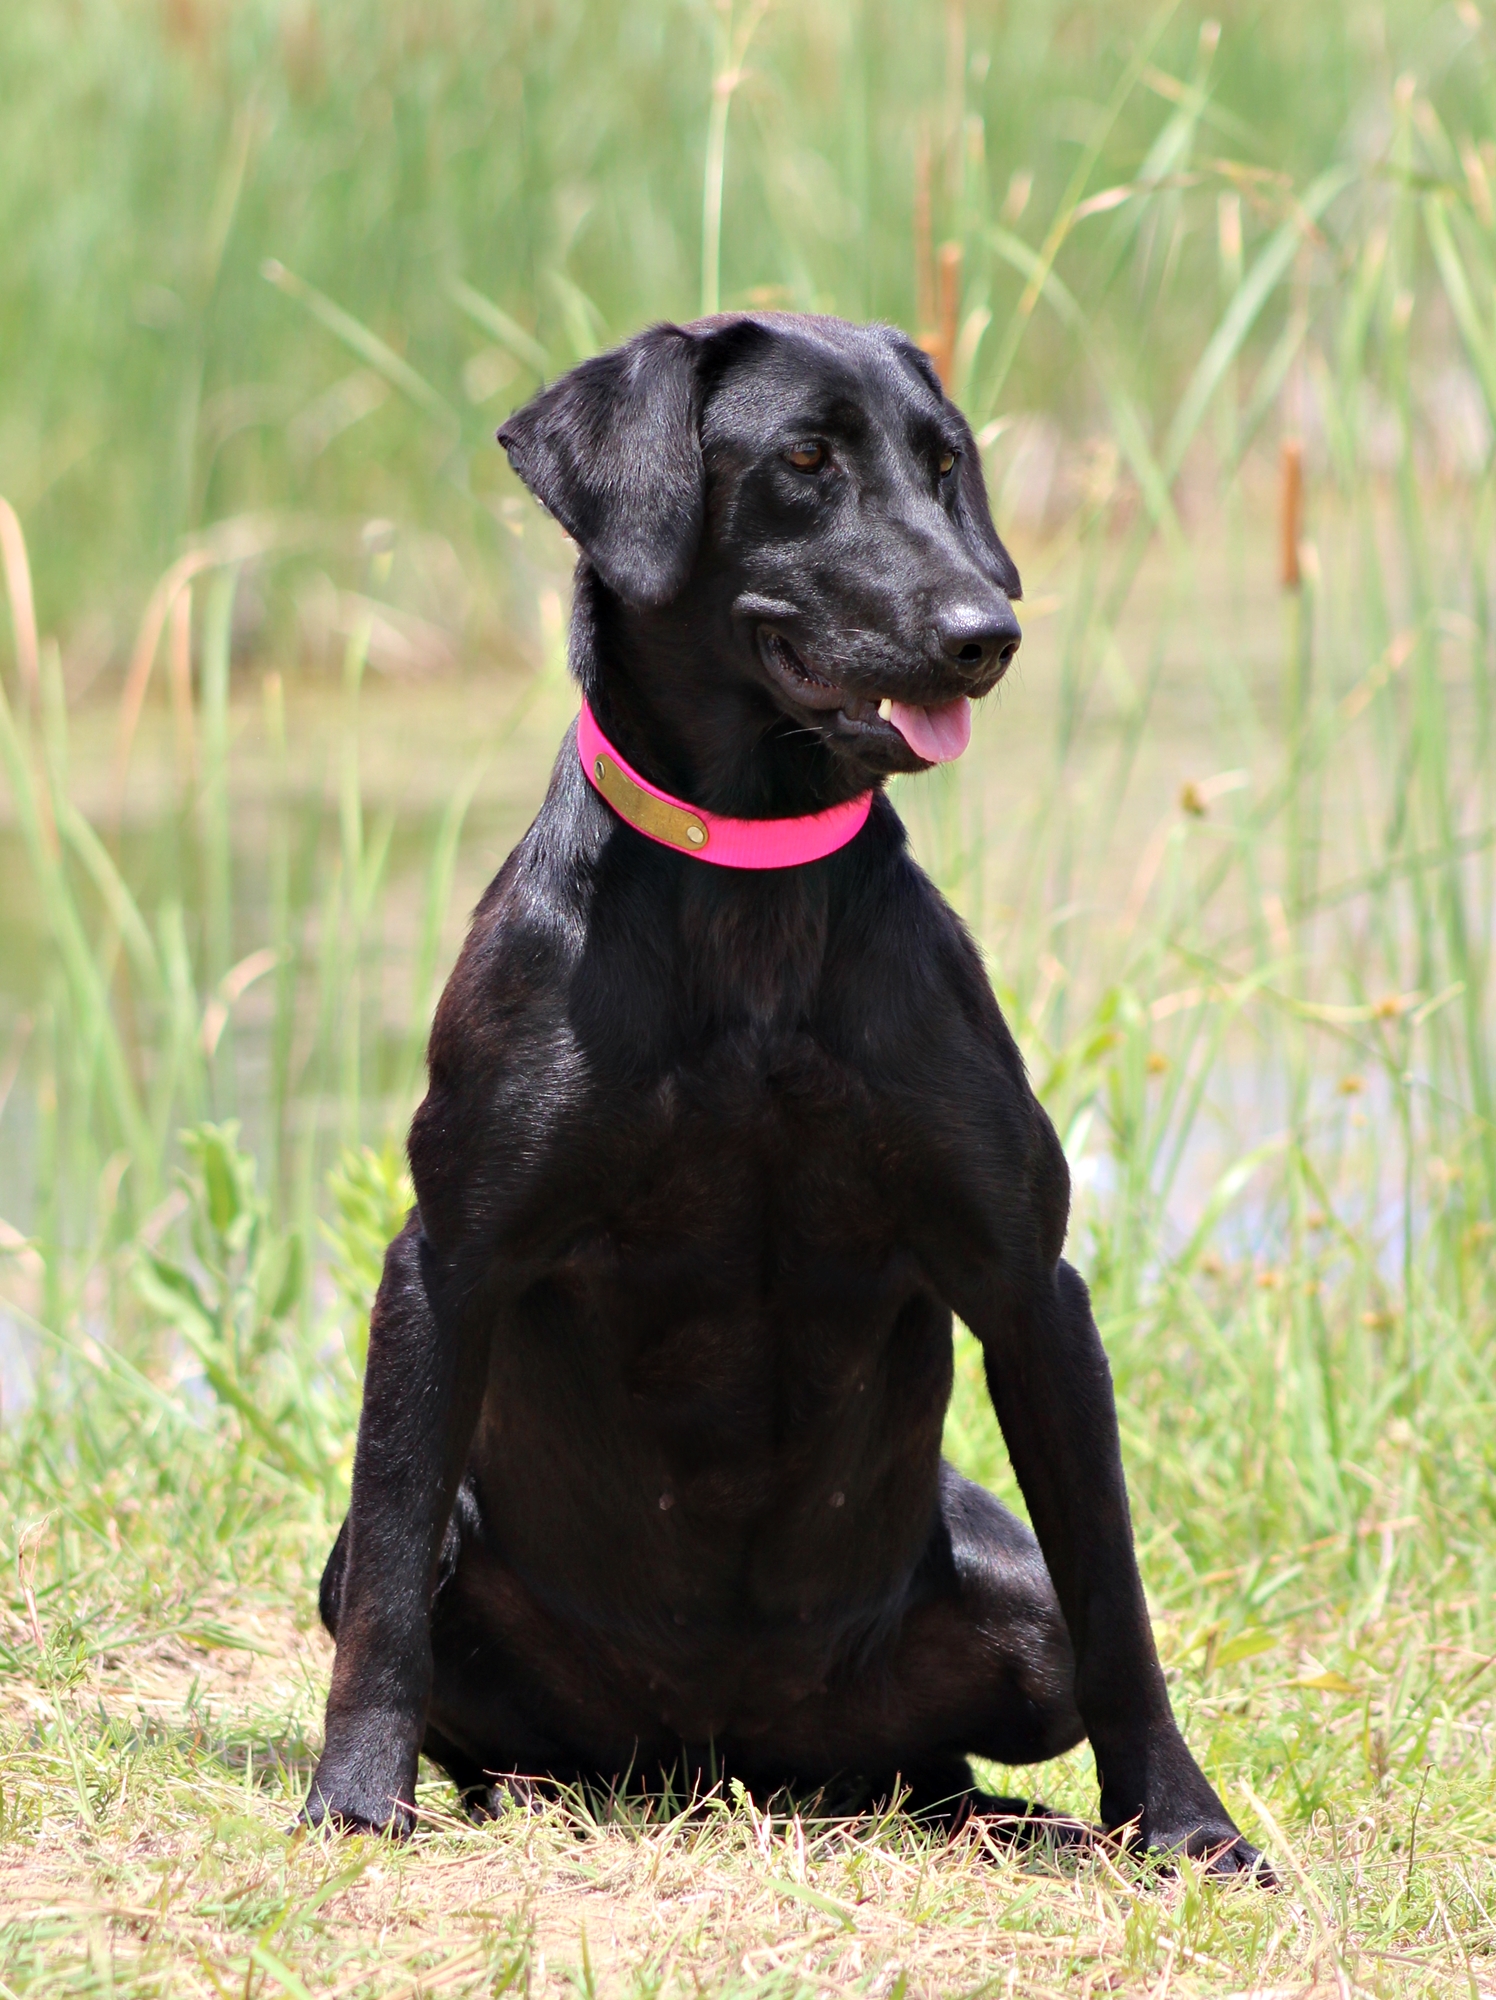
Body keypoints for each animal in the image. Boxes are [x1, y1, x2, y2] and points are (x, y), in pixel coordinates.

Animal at [310, 312, 1272, 1872]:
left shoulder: (1026, 1281)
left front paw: (1186, 1825)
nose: (985, 634)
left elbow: (1117, 1596)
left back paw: (1019, 1822)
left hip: (988, 1612)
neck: (752, 893)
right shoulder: (447, 1259)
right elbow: (392, 1569)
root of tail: (727, 1755)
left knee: (948, 1751)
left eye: (944, 464)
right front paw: (350, 1796)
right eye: (805, 461)